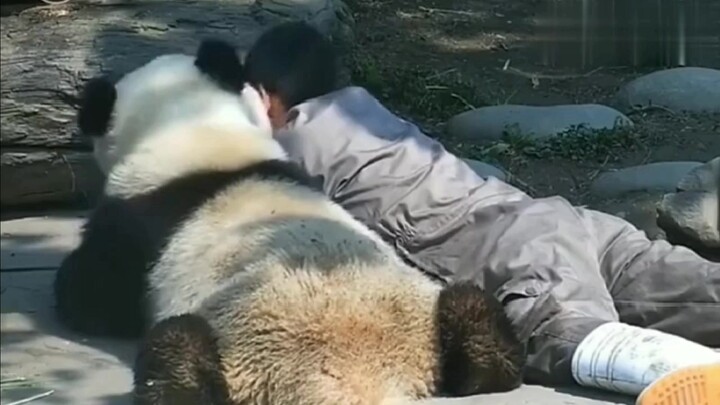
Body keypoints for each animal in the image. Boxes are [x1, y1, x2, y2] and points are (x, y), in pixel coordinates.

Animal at [53, 39, 525, 404]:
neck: (190, 123)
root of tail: (357, 378)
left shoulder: (137, 219)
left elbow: (92, 294)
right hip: (430, 320)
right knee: (473, 313)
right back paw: (483, 359)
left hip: (235, 360)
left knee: (176, 347)